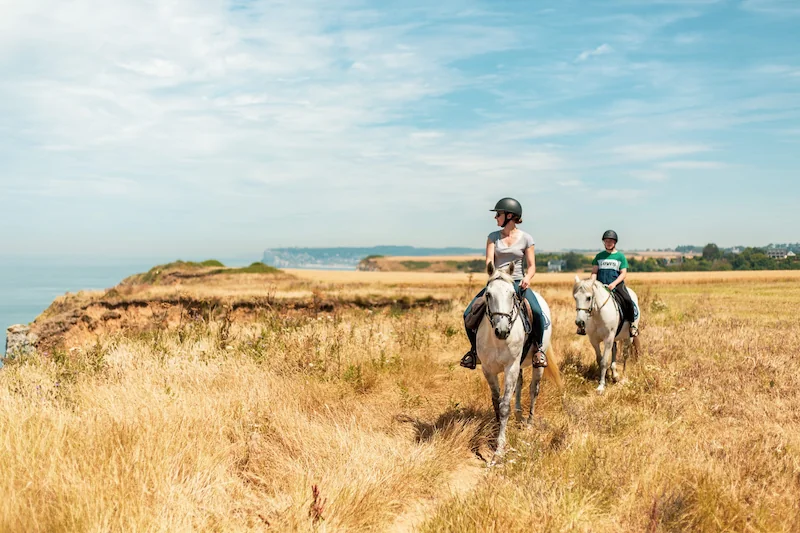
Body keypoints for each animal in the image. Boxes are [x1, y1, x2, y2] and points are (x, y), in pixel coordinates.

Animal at [476, 262, 564, 462]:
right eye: (488, 294)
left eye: (512, 294)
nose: (502, 330)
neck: (497, 340)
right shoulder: (488, 369)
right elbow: (496, 401)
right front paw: (495, 431)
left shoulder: (511, 367)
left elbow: (504, 406)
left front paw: (499, 448)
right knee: (520, 385)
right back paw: (518, 416)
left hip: (536, 364)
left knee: (533, 389)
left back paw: (529, 423)